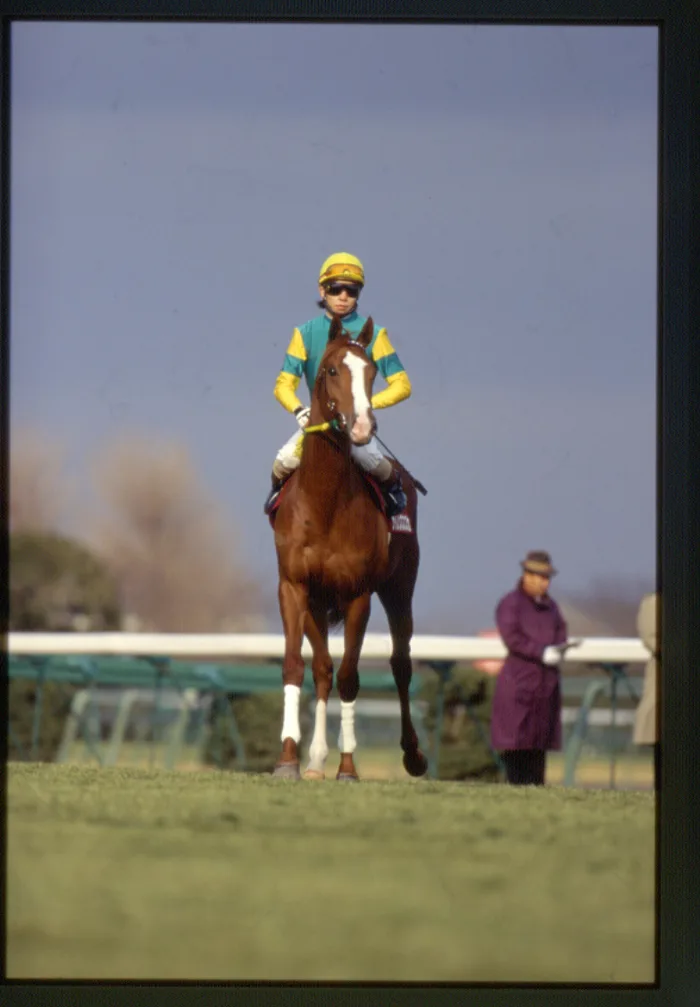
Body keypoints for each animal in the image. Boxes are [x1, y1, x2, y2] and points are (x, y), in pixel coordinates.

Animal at [268, 313, 428, 781]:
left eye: (372, 372)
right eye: (332, 370)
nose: (361, 427)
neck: (325, 503)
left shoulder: (360, 593)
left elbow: (351, 676)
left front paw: (348, 766)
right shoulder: (294, 587)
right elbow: (298, 666)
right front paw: (289, 758)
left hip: (399, 588)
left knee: (400, 663)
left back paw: (412, 755)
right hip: (318, 604)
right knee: (321, 669)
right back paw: (315, 760)